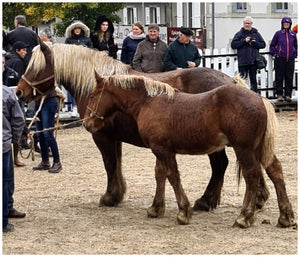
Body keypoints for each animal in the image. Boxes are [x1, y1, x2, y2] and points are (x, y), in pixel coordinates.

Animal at [16, 40, 270, 211]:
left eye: (35, 67)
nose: (19, 92)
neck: (100, 87)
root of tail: (230, 80)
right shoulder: (114, 137)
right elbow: (117, 164)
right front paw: (117, 194)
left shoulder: (102, 136)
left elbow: (110, 164)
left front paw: (110, 197)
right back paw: (256, 198)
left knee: (221, 165)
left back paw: (207, 201)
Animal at [82, 71, 296, 226]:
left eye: (92, 95)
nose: (86, 123)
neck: (149, 102)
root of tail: (261, 99)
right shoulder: (159, 150)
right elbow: (160, 174)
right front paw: (156, 208)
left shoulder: (163, 149)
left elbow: (172, 176)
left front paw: (183, 212)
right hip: (259, 148)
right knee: (275, 171)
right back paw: (286, 216)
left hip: (244, 148)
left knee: (252, 175)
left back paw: (244, 217)